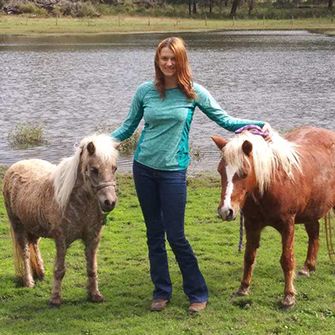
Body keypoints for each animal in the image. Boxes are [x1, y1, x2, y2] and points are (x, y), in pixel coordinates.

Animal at [2, 134, 119, 308]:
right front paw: (55, 299)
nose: (109, 202)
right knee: (25, 252)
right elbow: (59, 270)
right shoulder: (61, 240)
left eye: (114, 168)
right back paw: (29, 281)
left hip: (34, 228)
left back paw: (41, 272)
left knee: (34, 245)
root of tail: (15, 166)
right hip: (18, 227)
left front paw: (95, 295)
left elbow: (92, 268)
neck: (79, 204)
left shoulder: (92, 239)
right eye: (94, 170)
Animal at [213, 127, 335, 308]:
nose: (225, 211)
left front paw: (289, 296)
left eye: (243, 173)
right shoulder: (251, 224)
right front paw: (243, 287)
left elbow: (287, 260)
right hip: (311, 210)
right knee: (314, 234)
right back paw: (308, 267)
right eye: (220, 170)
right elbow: (249, 256)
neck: (271, 184)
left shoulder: (287, 225)